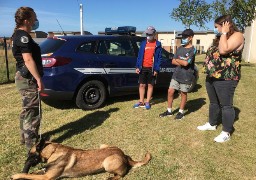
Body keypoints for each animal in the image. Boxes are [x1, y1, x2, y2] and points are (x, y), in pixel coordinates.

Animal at [12, 139, 151, 179]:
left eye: (30, 153)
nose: (26, 162)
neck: (53, 151)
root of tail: (124, 155)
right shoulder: (45, 172)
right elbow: (33, 172)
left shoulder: (46, 177)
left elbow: (28, 175)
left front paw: (16, 175)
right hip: (102, 145)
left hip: (107, 163)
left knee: (121, 175)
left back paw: (111, 178)